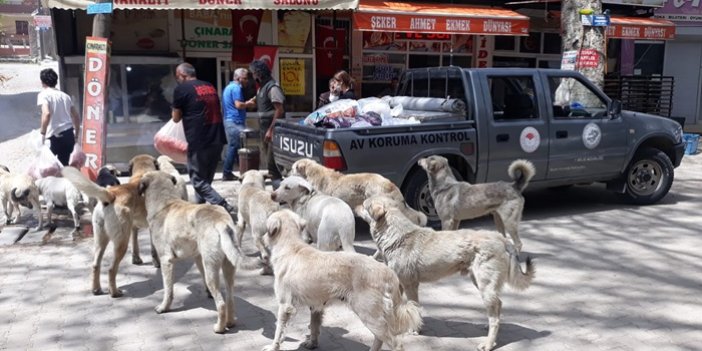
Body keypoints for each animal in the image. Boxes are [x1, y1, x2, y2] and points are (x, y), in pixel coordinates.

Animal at [62, 154, 159, 296]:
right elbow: (153, 249)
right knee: (111, 269)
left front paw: (136, 259)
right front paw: (156, 263)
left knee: (95, 265)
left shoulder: (134, 227)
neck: (143, 171)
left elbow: (135, 245)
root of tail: (111, 194)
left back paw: (96, 289)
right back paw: (114, 292)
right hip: (121, 242)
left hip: (100, 240)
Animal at [139, 173, 260, 336]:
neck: (165, 203)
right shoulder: (198, 257)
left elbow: (168, 289)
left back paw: (219, 328)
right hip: (228, 267)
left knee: (221, 303)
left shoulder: (166, 261)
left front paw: (164, 307)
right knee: (229, 298)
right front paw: (207, 293)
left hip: (212, 270)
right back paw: (230, 322)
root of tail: (221, 221)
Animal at [262, 209, 420, 351]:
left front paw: (273, 347)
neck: (291, 246)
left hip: (369, 315)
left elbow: (279, 331)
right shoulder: (316, 305)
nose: (262, 237)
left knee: (395, 343)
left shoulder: (285, 306)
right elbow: (314, 326)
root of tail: (388, 272)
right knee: (380, 339)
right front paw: (312, 343)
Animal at [360, 197, 536, 351]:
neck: (396, 236)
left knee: (496, 312)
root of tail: (502, 239)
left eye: (364, 204)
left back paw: (488, 343)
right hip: (480, 282)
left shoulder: (411, 285)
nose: (355, 206)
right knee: (496, 308)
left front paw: (415, 329)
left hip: (485, 285)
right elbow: (398, 308)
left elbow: (414, 307)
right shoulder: (399, 284)